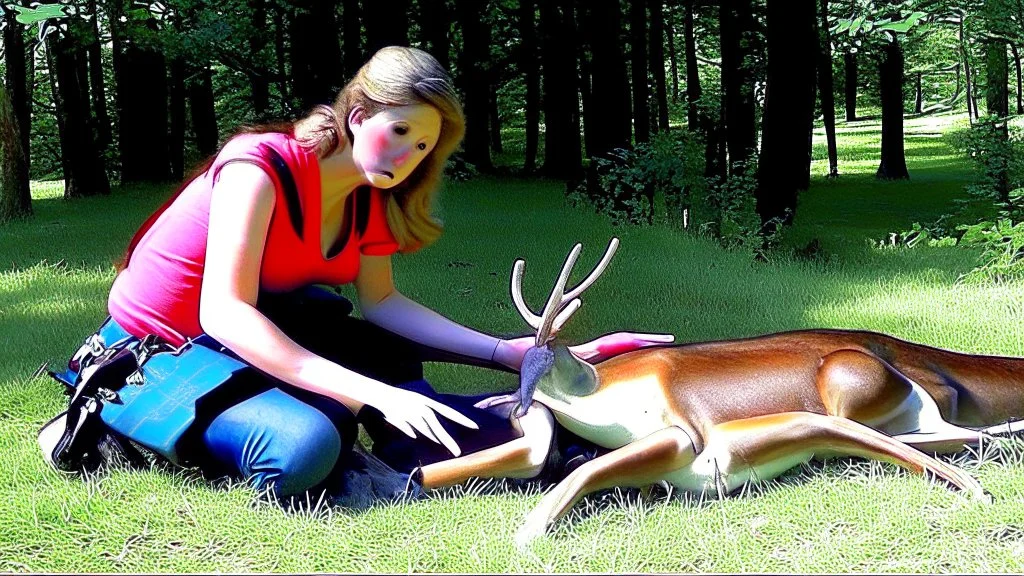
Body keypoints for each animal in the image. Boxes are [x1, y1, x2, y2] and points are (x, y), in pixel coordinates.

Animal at [442, 236, 1024, 541]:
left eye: (547, 362)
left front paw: (528, 533)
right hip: (901, 411)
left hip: (846, 387)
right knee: (958, 433)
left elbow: (586, 468)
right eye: (521, 367)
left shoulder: (686, 431)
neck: (604, 391)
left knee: (954, 437)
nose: (511, 403)